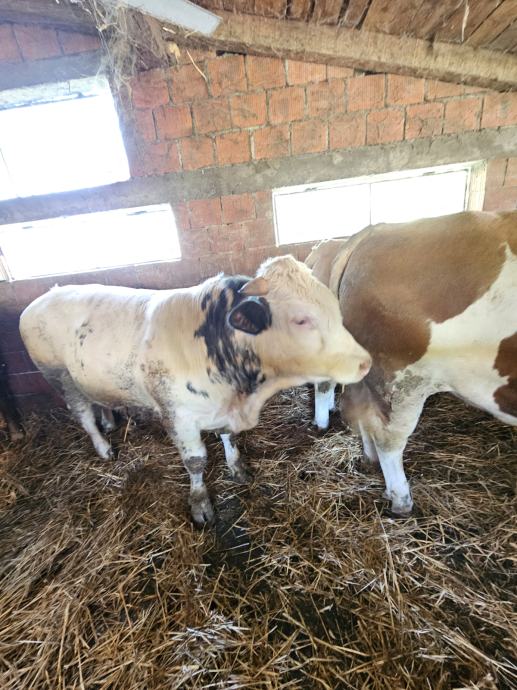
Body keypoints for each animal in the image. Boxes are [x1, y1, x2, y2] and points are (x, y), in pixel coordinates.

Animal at [20, 255, 371, 525]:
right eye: (301, 320)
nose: (365, 362)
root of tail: (42, 298)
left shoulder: (224, 410)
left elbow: (230, 438)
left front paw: (236, 467)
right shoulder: (180, 418)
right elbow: (196, 462)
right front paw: (200, 504)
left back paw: (108, 421)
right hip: (60, 377)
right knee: (83, 415)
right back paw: (103, 446)